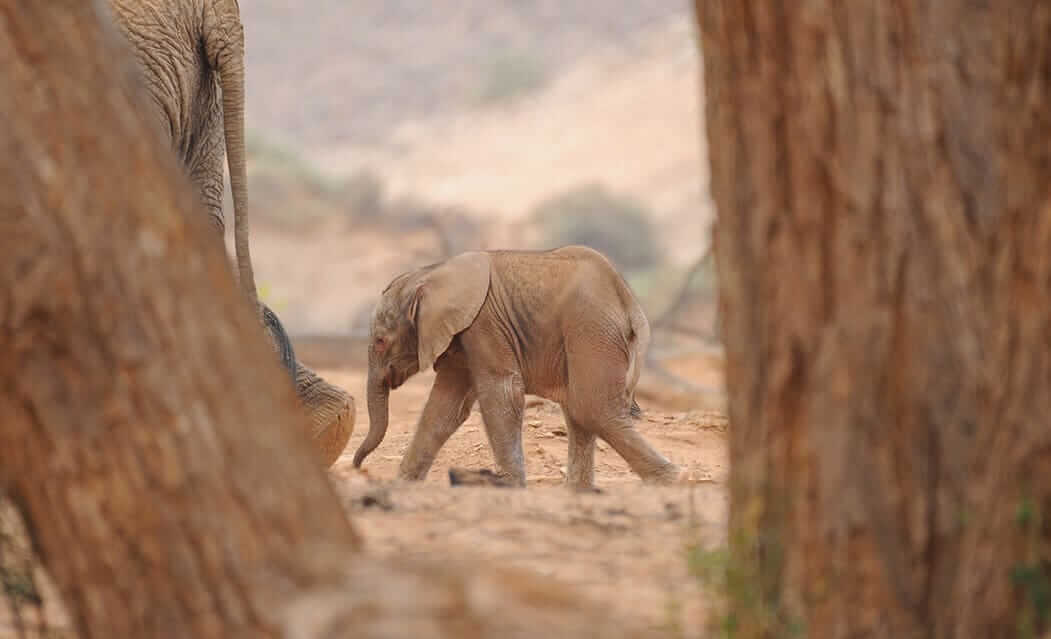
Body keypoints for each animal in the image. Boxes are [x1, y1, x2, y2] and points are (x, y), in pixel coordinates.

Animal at [352, 245, 682, 489]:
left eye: (380, 341)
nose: (358, 467)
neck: (430, 273)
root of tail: (628, 301)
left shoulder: (484, 324)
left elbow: (501, 391)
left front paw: (509, 486)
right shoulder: (461, 335)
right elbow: (444, 408)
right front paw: (403, 484)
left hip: (591, 328)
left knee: (591, 407)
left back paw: (672, 480)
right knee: (579, 410)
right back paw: (579, 491)